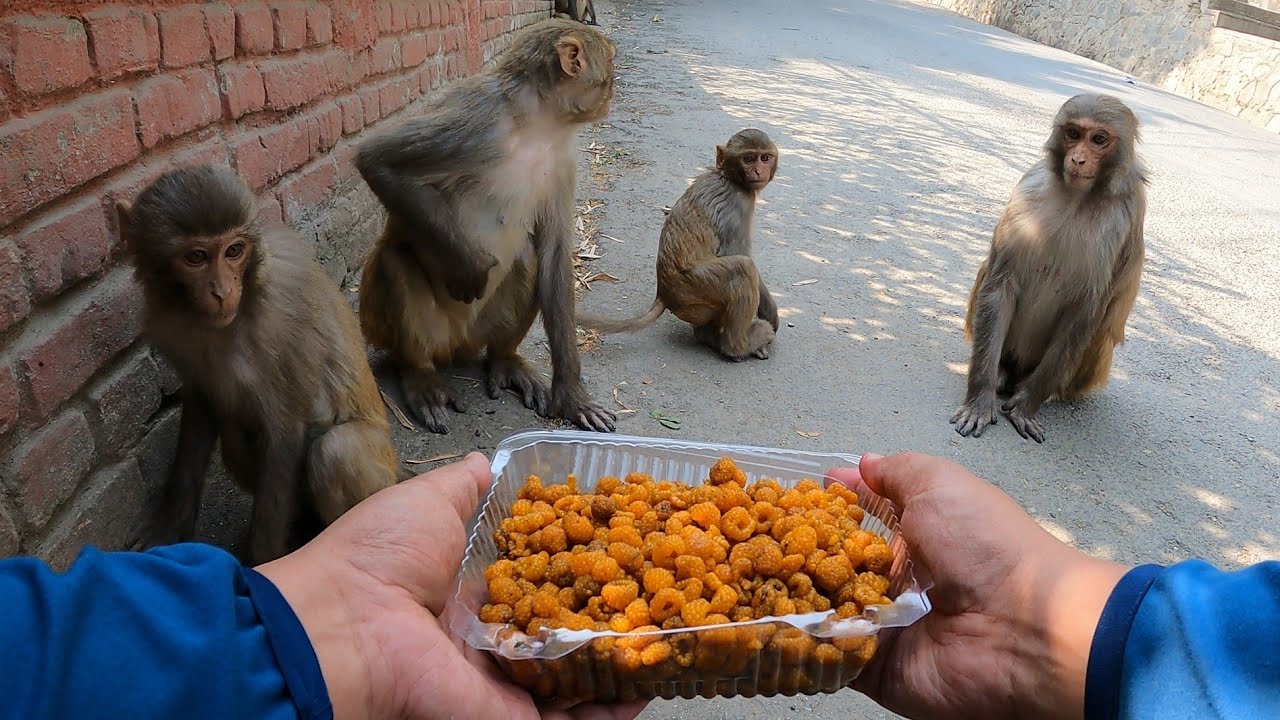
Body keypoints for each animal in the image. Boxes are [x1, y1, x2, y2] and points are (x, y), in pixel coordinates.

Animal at [118, 164, 409, 565]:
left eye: (234, 251)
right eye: (196, 257)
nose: (222, 292)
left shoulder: (282, 323)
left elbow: (284, 432)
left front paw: (263, 564)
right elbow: (202, 409)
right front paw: (170, 525)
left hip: (380, 468)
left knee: (336, 450)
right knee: (235, 436)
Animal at [354, 18, 617, 435]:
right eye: (610, 61)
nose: (614, 88)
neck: (537, 125)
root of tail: (457, 345)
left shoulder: (562, 158)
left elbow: (554, 254)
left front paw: (572, 396)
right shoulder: (478, 115)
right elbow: (378, 160)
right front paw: (471, 268)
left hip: (480, 331)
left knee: (528, 258)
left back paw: (504, 359)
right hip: (409, 330)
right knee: (394, 262)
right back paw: (420, 374)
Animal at [577, 129, 780, 362]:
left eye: (765, 158)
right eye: (748, 158)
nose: (758, 170)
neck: (728, 176)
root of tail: (663, 294)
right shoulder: (738, 203)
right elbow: (739, 253)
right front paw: (770, 312)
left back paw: (708, 337)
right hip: (696, 285)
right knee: (742, 269)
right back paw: (738, 346)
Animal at [951, 93, 1148, 443]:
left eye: (1099, 140)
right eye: (1073, 133)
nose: (1079, 159)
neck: (1079, 197)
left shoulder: (1127, 217)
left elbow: (1088, 310)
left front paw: (1026, 405)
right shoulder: (1029, 189)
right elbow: (1000, 283)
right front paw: (979, 399)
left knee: (1101, 326)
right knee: (988, 272)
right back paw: (1001, 373)